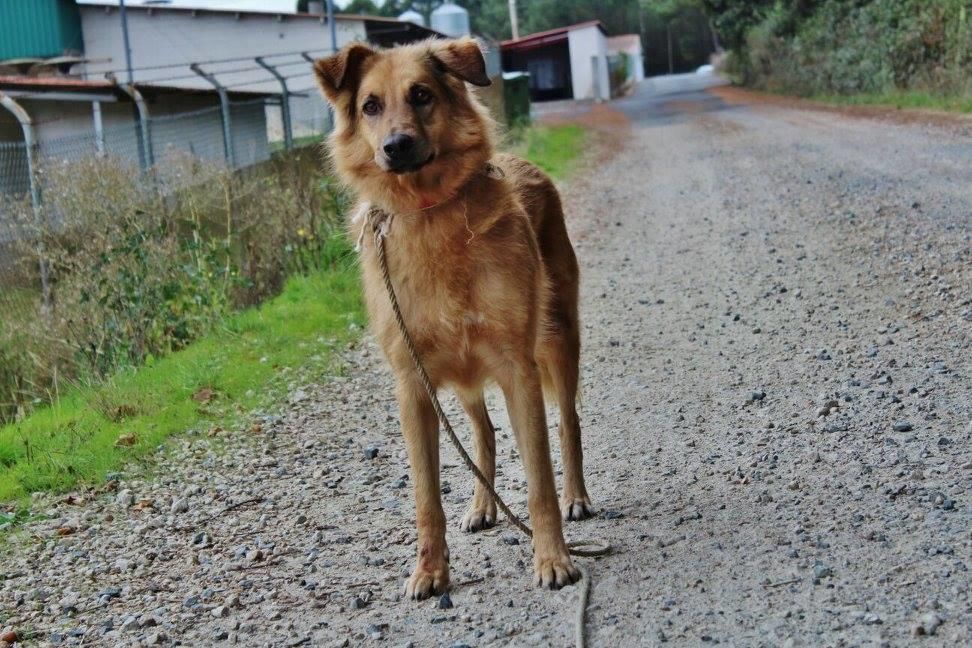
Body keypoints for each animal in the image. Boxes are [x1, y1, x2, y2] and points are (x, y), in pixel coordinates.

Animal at [318, 38, 592, 600]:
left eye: (421, 94)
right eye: (370, 106)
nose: (396, 146)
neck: (429, 211)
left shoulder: (518, 370)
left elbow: (540, 482)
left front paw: (552, 558)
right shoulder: (413, 386)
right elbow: (427, 497)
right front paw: (430, 571)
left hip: (558, 340)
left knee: (568, 423)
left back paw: (576, 496)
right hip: (462, 379)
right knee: (483, 435)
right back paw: (483, 505)